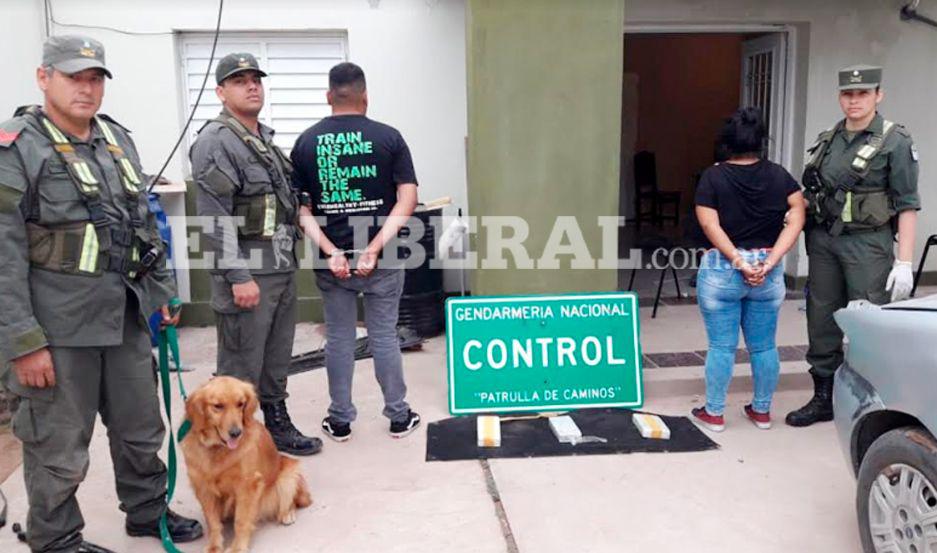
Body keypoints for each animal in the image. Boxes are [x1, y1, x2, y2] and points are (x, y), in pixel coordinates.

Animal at [181, 376, 312, 552]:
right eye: (218, 406)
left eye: (240, 404)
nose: (236, 433)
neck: (218, 449)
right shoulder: (203, 487)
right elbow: (213, 522)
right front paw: (214, 546)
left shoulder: (247, 486)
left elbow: (241, 521)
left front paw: (237, 547)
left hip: (288, 474)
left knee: (291, 500)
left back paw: (287, 513)